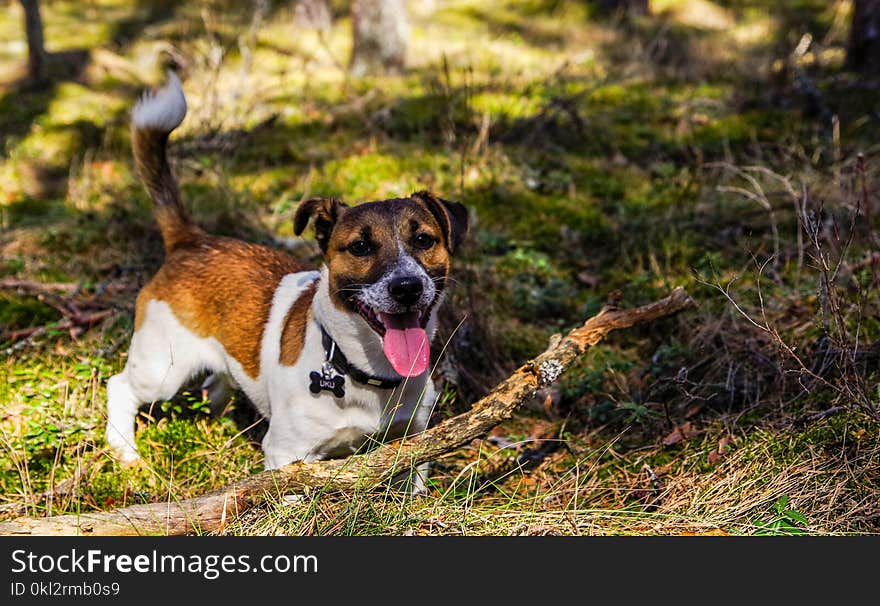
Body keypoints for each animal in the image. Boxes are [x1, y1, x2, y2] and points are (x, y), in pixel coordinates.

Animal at [105, 72, 468, 490]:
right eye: (360, 247)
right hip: (161, 368)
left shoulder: (414, 439)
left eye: (423, 240)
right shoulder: (287, 457)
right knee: (119, 386)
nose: (407, 287)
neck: (362, 372)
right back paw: (125, 452)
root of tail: (191, 240)